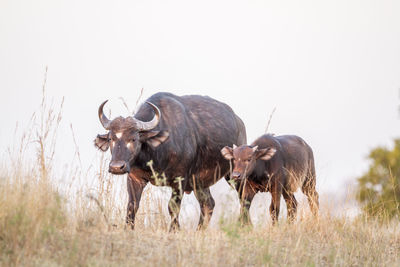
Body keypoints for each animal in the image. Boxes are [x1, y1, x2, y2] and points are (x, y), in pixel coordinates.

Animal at [95, 92, 245, 230]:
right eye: (111, 138)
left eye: (134, 139)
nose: (116, 167)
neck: (156, 154)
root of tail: (239, 122)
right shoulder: (134, 178)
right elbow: (132, 206)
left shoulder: (180, 180)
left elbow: (173, 207)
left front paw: (174, 230)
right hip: (199, 182)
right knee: (208, 204)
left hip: (235, 174)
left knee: (243, 197)